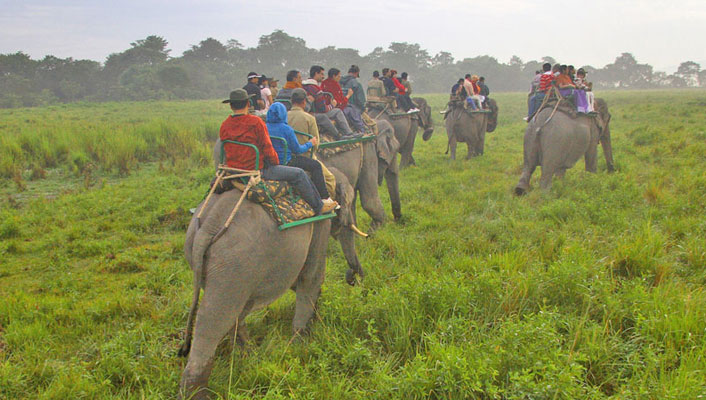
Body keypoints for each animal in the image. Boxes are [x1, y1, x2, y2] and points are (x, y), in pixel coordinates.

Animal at [179, 166, 354, 400]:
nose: (351, 278)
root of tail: (207, 227)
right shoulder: (321, 222)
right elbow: (310, 276)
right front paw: (299, 345)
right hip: (233, 263)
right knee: (214, 317)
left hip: (218, 263)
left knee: (236, 309)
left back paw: (249, 355)